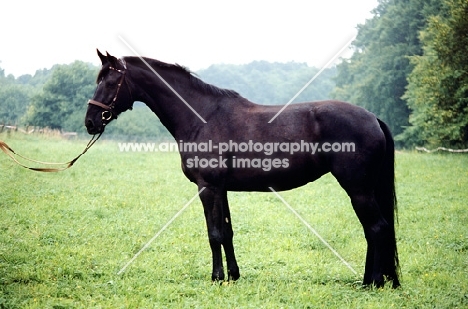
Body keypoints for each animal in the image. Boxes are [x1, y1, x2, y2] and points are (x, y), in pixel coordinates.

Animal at [85, 50, 398, 286]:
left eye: (110, 82)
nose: (90, 121)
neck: (202, 117)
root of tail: (372, 117)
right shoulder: (221, 189)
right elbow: (227, 232)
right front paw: (233, 276)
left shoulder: (207, 188)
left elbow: (213, 234)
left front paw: (216, 277)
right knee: (374, 230)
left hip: (358, 189)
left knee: (377, 228)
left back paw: (373, 282)